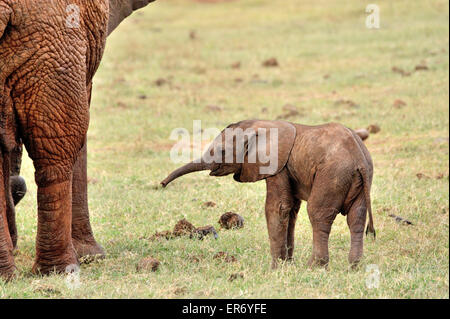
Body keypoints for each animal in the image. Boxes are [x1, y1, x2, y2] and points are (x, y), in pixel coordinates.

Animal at [160, 120, 374, 270]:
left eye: (221, 151)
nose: (162, 184)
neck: (260, 126)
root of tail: (359, 158)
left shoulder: (275, 165)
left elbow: (278, 207)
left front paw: (275, 268)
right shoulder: (286, 169)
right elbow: (291, 210)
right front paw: (287, 264)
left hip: (332, 175)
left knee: (318, 214)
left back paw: (314, 267)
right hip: (358, 179)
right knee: (356, 218)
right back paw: (354, 266)